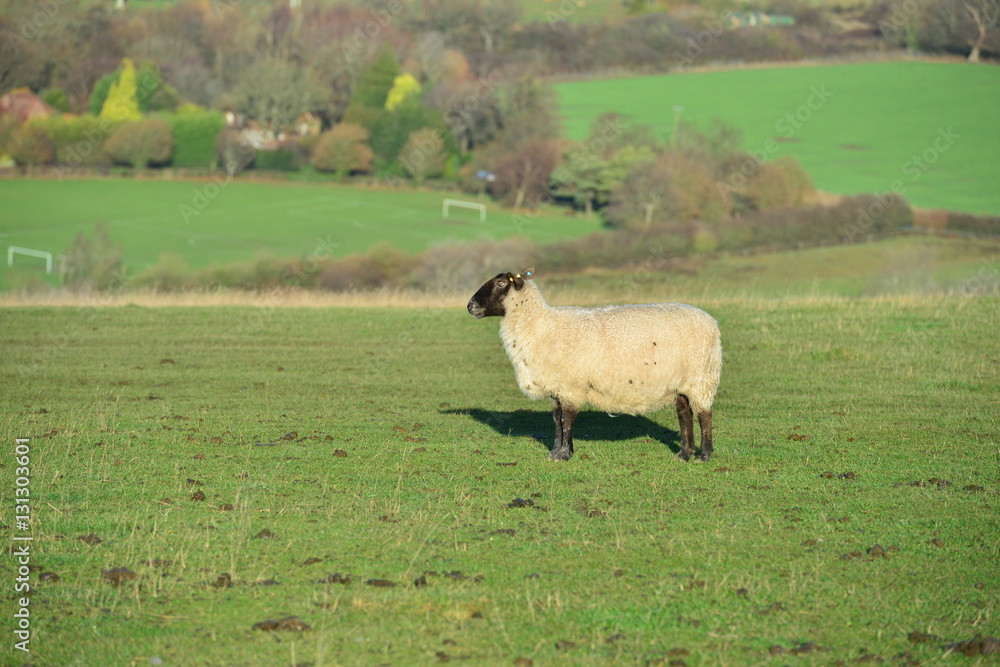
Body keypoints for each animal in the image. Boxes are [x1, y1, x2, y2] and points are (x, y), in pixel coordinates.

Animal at [467, 269, 722, 462]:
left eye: (501, 283)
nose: (470, 306)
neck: (540, 325)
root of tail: (711, 321)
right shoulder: (557, 387)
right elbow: (556, 421)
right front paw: (554, 452)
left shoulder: (570, 387)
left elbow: (566, 420)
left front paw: (564, 454)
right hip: (682, 383)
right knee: (684, 415)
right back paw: (683, 454)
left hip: (702, 378)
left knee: (704, 415)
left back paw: (704, 455)